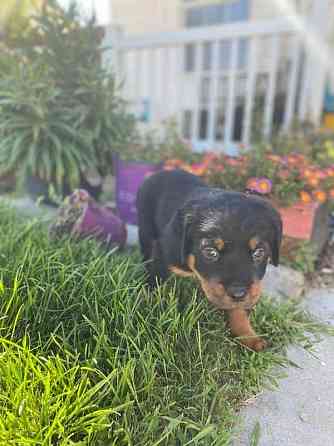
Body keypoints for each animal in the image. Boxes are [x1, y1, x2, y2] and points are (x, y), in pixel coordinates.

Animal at [136, 169, 282, 350]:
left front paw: (248, 336)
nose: (239, 294)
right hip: (145, 228)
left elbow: (239, 310)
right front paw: (151, 313)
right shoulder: (162, 254)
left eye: (259, 252)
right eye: (210, 252)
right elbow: (155, 286)